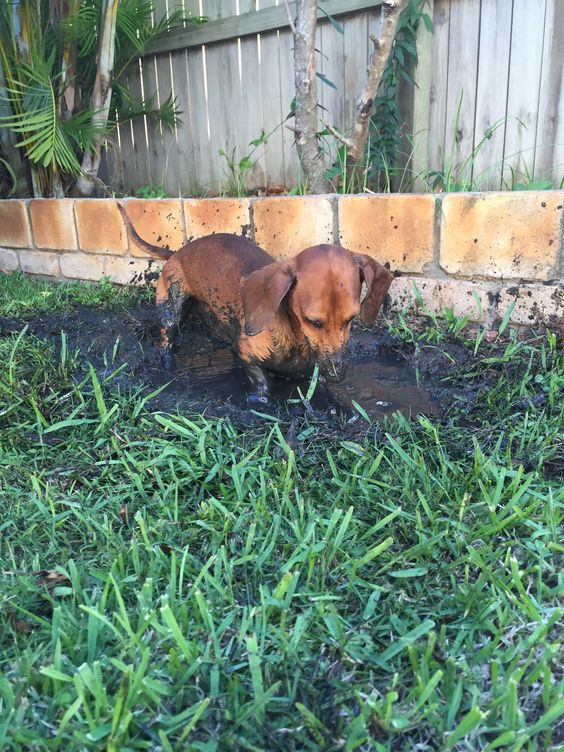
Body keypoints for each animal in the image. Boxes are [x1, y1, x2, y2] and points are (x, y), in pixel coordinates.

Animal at [119, 203, 392, 402]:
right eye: (312, 321)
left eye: (352, 319)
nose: (338, 373)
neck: (295, 336)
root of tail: (177, 252)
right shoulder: (245, 351)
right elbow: (262, 380)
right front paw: (260, 399)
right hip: (170, 309)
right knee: (165, 343)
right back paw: (168, 369)